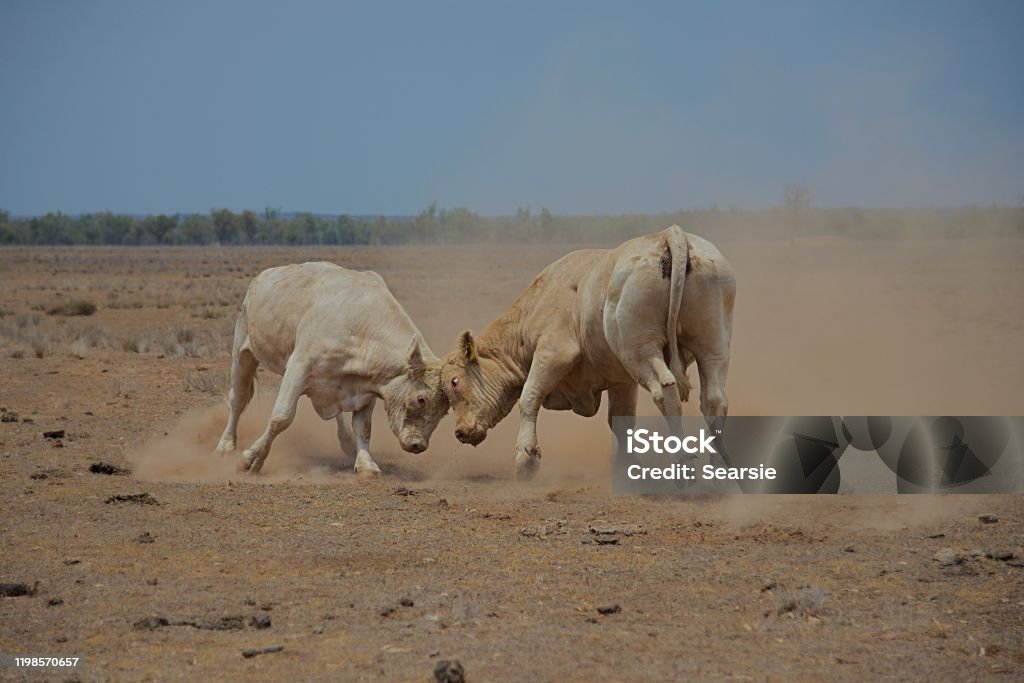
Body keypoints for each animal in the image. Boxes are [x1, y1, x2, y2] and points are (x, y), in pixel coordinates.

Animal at [215, 262, 449, 475]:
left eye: (445, 410)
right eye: (421, 399)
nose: (419, 445)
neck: (361, 326)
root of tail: (262, 276)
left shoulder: (368, 387)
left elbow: (363, 428)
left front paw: (366, 463)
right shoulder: (298, 368)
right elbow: (281, 418)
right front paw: (252, 458)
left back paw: (347, 442)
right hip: (243, 352)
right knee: (238, 399)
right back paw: (225, 445)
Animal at [441, 226, 735, 480]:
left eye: (454, 382)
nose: (460, 432)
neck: (536, 301)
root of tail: (669, 235)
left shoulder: (554, 352)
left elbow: (529, 398)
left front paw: (526, 457)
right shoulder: (621, 379)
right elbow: (621, 420)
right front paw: (627, 467)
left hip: (641, 350)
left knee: (666, 391)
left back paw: (684, 466)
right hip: (712, 345)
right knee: (714, 399)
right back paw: (717, 470)